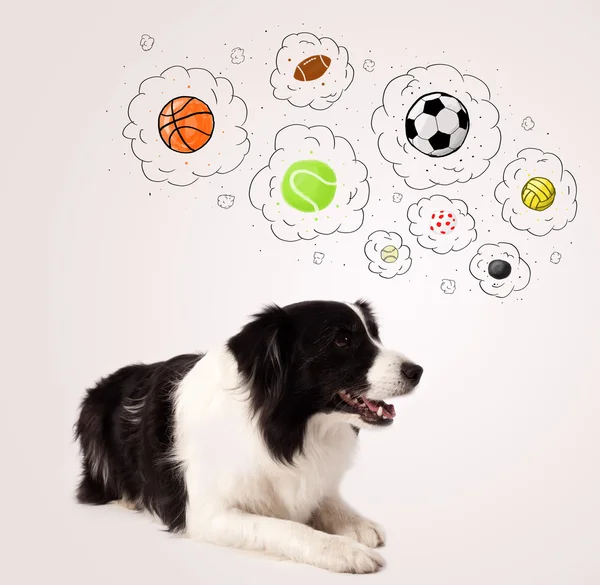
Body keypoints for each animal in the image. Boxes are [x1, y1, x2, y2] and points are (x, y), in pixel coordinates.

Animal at [74, 302, 422, 572]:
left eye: (375, 335)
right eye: (342, 339)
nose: (417, 371)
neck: (285, 429)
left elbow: (322, 497)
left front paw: (356, 522)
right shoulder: (207, 514)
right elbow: (287, 528)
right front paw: (343, 550)